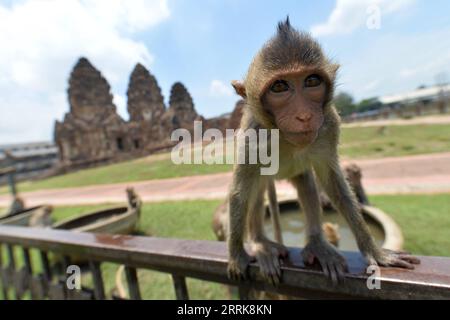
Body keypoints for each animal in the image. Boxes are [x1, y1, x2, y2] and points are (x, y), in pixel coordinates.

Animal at [225, 17, 418, 284]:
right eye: (279, 87)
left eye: (312, 81)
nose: (304, 115)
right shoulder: (253, 138)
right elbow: (240, 192)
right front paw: (237, 255)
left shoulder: (329, 125)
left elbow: (334, 184)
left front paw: (374, 251)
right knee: (256, 190)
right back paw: (261, 243)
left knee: (307, 183)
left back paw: (317, 244)